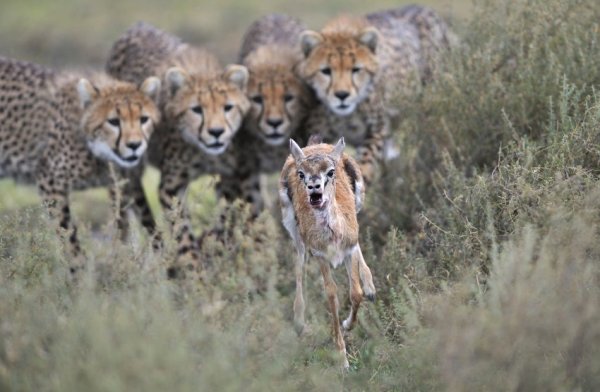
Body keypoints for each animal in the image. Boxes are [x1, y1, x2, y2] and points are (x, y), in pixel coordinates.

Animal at [0, 55, 161, 272]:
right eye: (113, 121)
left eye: (143, 119)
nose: (135, 145)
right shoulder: (50, 181)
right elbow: (67, 234)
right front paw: (80, 273)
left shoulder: (126, 183)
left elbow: (141, 224)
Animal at [105, 23, 251, 276]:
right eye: (197, 109)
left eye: (227, 107)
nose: (216, 132)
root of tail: (138, 25)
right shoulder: (171, 186)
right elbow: (181, 230)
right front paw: (193, 269)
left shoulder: (233, 178)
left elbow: (225, 216)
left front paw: (212, 243)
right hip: (128, 166)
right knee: (132, 210)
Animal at [298, 4, 452, 182]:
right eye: (326, 71)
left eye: (356, 69)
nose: (342, 95)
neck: (344, 117)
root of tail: (421, 7)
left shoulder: (378, 128)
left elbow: (365, 164)